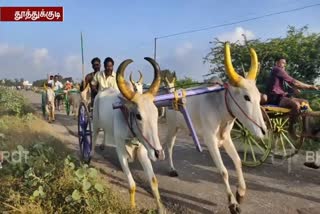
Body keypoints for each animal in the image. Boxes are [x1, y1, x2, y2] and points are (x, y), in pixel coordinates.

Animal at [90, 57, 164, 213]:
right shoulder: (121, 152)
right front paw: (132, 206)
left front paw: (160, 208)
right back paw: (90, 157)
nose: (158, 153)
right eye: (138, 116)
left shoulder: (143, 150)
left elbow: (153, 182)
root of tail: (102, 92)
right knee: (93, 138)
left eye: (156, 113)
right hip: (95, 123)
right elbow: (132, 185)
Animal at [164, 42, 266, 214]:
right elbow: (223, 171)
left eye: (259, 97)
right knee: (168, 146)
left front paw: (241, 193)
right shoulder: (210, 140)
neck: (220, 107)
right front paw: (232, 203)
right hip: (171, 128)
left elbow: (238, 161)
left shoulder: (226, 139)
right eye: (246, 97)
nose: (263, 131)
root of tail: (172, 94)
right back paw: (170, 168)